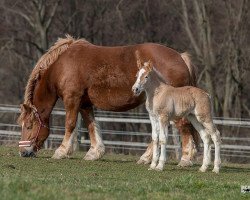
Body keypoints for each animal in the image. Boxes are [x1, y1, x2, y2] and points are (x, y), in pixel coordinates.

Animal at [18, 34, 199, 166]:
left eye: (29, 126)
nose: (22, 152)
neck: (62, 65)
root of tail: (180, 57)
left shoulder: (72, 99)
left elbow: (70, 124)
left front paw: (61, 151)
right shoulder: (84, 103)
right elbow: (91, 124)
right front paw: (94, 152)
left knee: (184, 126)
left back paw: (185, 158)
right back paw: (146, 157)